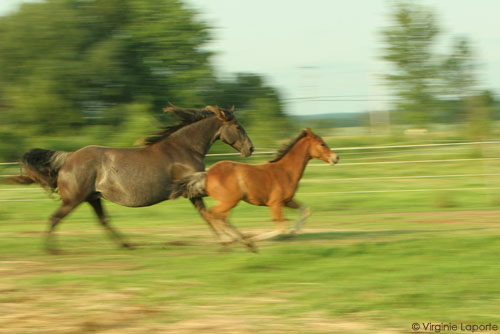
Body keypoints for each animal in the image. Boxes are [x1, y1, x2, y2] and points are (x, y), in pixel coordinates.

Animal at [9, 105, 256, 252]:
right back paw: (51, 249)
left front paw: (230, 240)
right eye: (237, 126)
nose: (250, 149)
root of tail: (68, 158)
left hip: (93, 198)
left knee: (103, 221)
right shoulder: (192, 188)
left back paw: (126, 244)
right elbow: (209, 214)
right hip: (74, 199)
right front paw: (230, 241)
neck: (184, 149)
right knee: (54, 218)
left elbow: (208, 214)